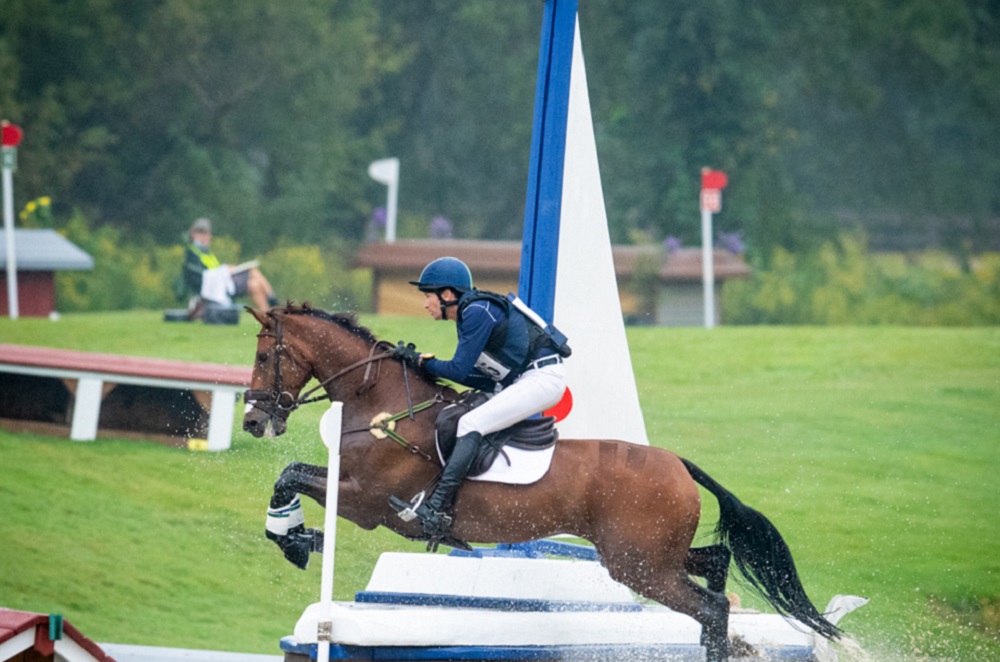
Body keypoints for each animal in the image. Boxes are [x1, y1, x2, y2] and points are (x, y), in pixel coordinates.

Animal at [244, 304, 844, 660]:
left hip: (638, 563)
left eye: (263, 354)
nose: (252, 421)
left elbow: (290, 475)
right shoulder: (357, 495)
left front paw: (294, 539)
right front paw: (297, 536)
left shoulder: (366, 502)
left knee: (710, 604)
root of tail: (677, 463)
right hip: (646, 554)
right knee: (716, 565)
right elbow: (290, 476)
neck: (384, 403)